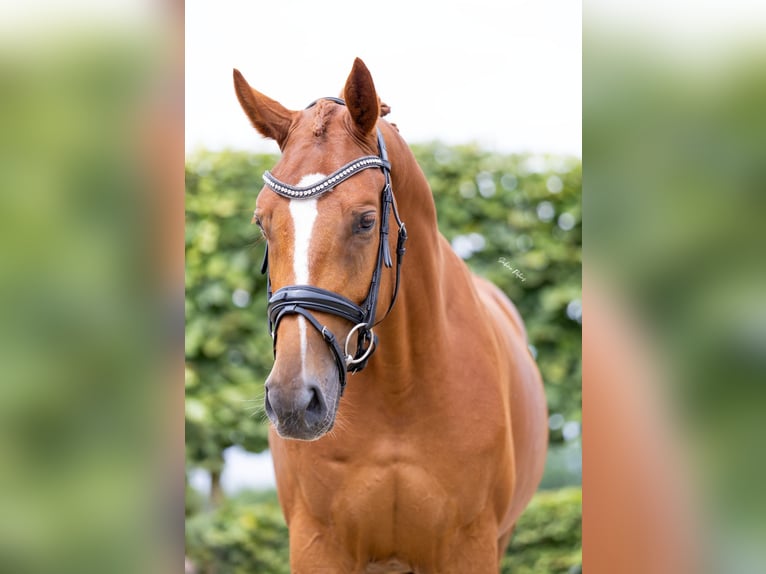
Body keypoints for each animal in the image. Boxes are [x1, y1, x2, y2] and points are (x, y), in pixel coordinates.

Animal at [233, 58, 548, 573]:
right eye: (263, 223)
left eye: (365, 221)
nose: (294, 400)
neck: (401, 389)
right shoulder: (318, 545)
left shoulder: (472, 545)